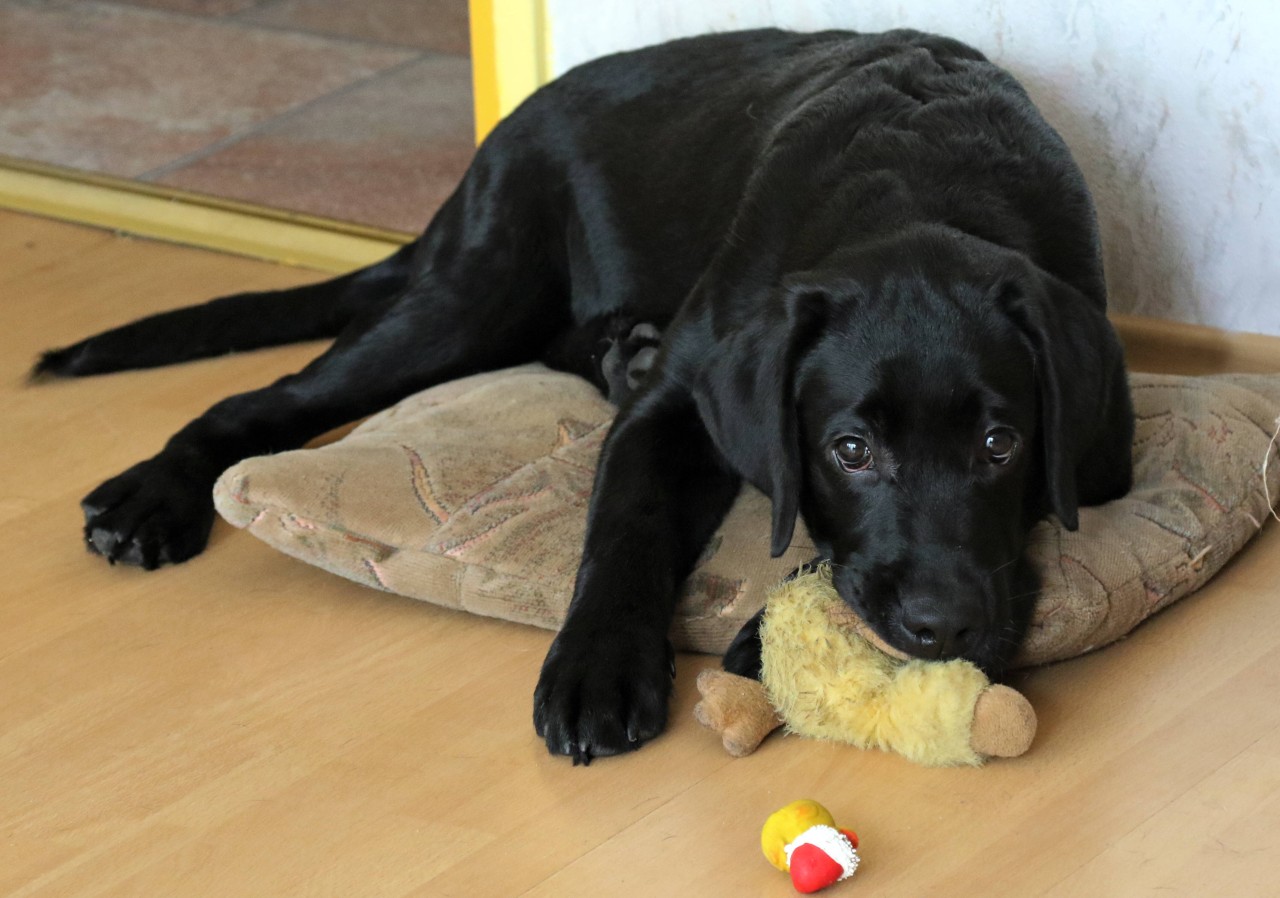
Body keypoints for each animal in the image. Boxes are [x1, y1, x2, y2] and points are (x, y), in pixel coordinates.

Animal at [32, 31, 1131, 772]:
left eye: (1001, 443)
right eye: (850, 450)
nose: (942, 627)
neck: (919, 183)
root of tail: (491, 145)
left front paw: (763, 635)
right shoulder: (674, 409)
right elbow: (625, 525)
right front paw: (599, 667)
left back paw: (618, 348)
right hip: (465, 303)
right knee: (260, 401)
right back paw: (151, 498)